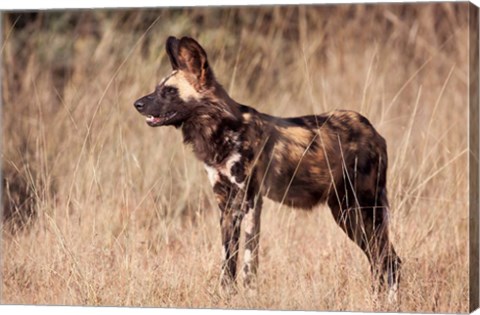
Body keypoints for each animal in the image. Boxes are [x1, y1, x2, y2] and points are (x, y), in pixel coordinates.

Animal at [134, 35, 402, 302]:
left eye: (169, 91)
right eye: (157, 89)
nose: (137, 104)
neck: (220, 130)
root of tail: (372, 130)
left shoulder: (249, 200)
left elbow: (248, 261)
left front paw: (249, 295)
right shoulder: (226, 205)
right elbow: (228, 259)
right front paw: (226, 296)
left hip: (364, 208)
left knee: (388, 261)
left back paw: (387, 303)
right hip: (346, 213)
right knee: (381, 260)